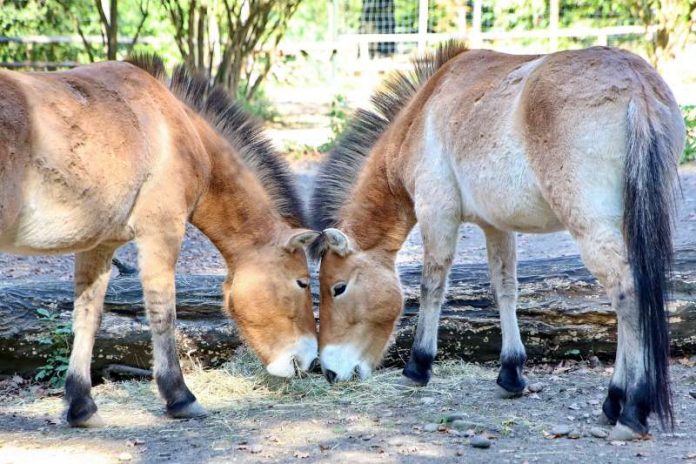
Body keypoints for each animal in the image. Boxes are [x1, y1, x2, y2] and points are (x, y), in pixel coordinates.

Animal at [0, 55, 320, 428]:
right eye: (302, 282)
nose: (309, 361)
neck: (179, 129)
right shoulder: (161, 233)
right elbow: (163, 312)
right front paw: (180, 397)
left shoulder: (98, 246)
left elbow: (87, 316)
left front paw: (81, 405)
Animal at [310, 41, 684, 440]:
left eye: (338, 288)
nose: (330, 371)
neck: (424, 110)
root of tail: (636, 85)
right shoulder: (496, 226)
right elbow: (504, 288)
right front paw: (511, 372)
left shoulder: (437, 212)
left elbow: (432, 286)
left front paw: (418, 366)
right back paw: (615, 402)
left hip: (592, 227)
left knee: (627, 294)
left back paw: (631, 408)